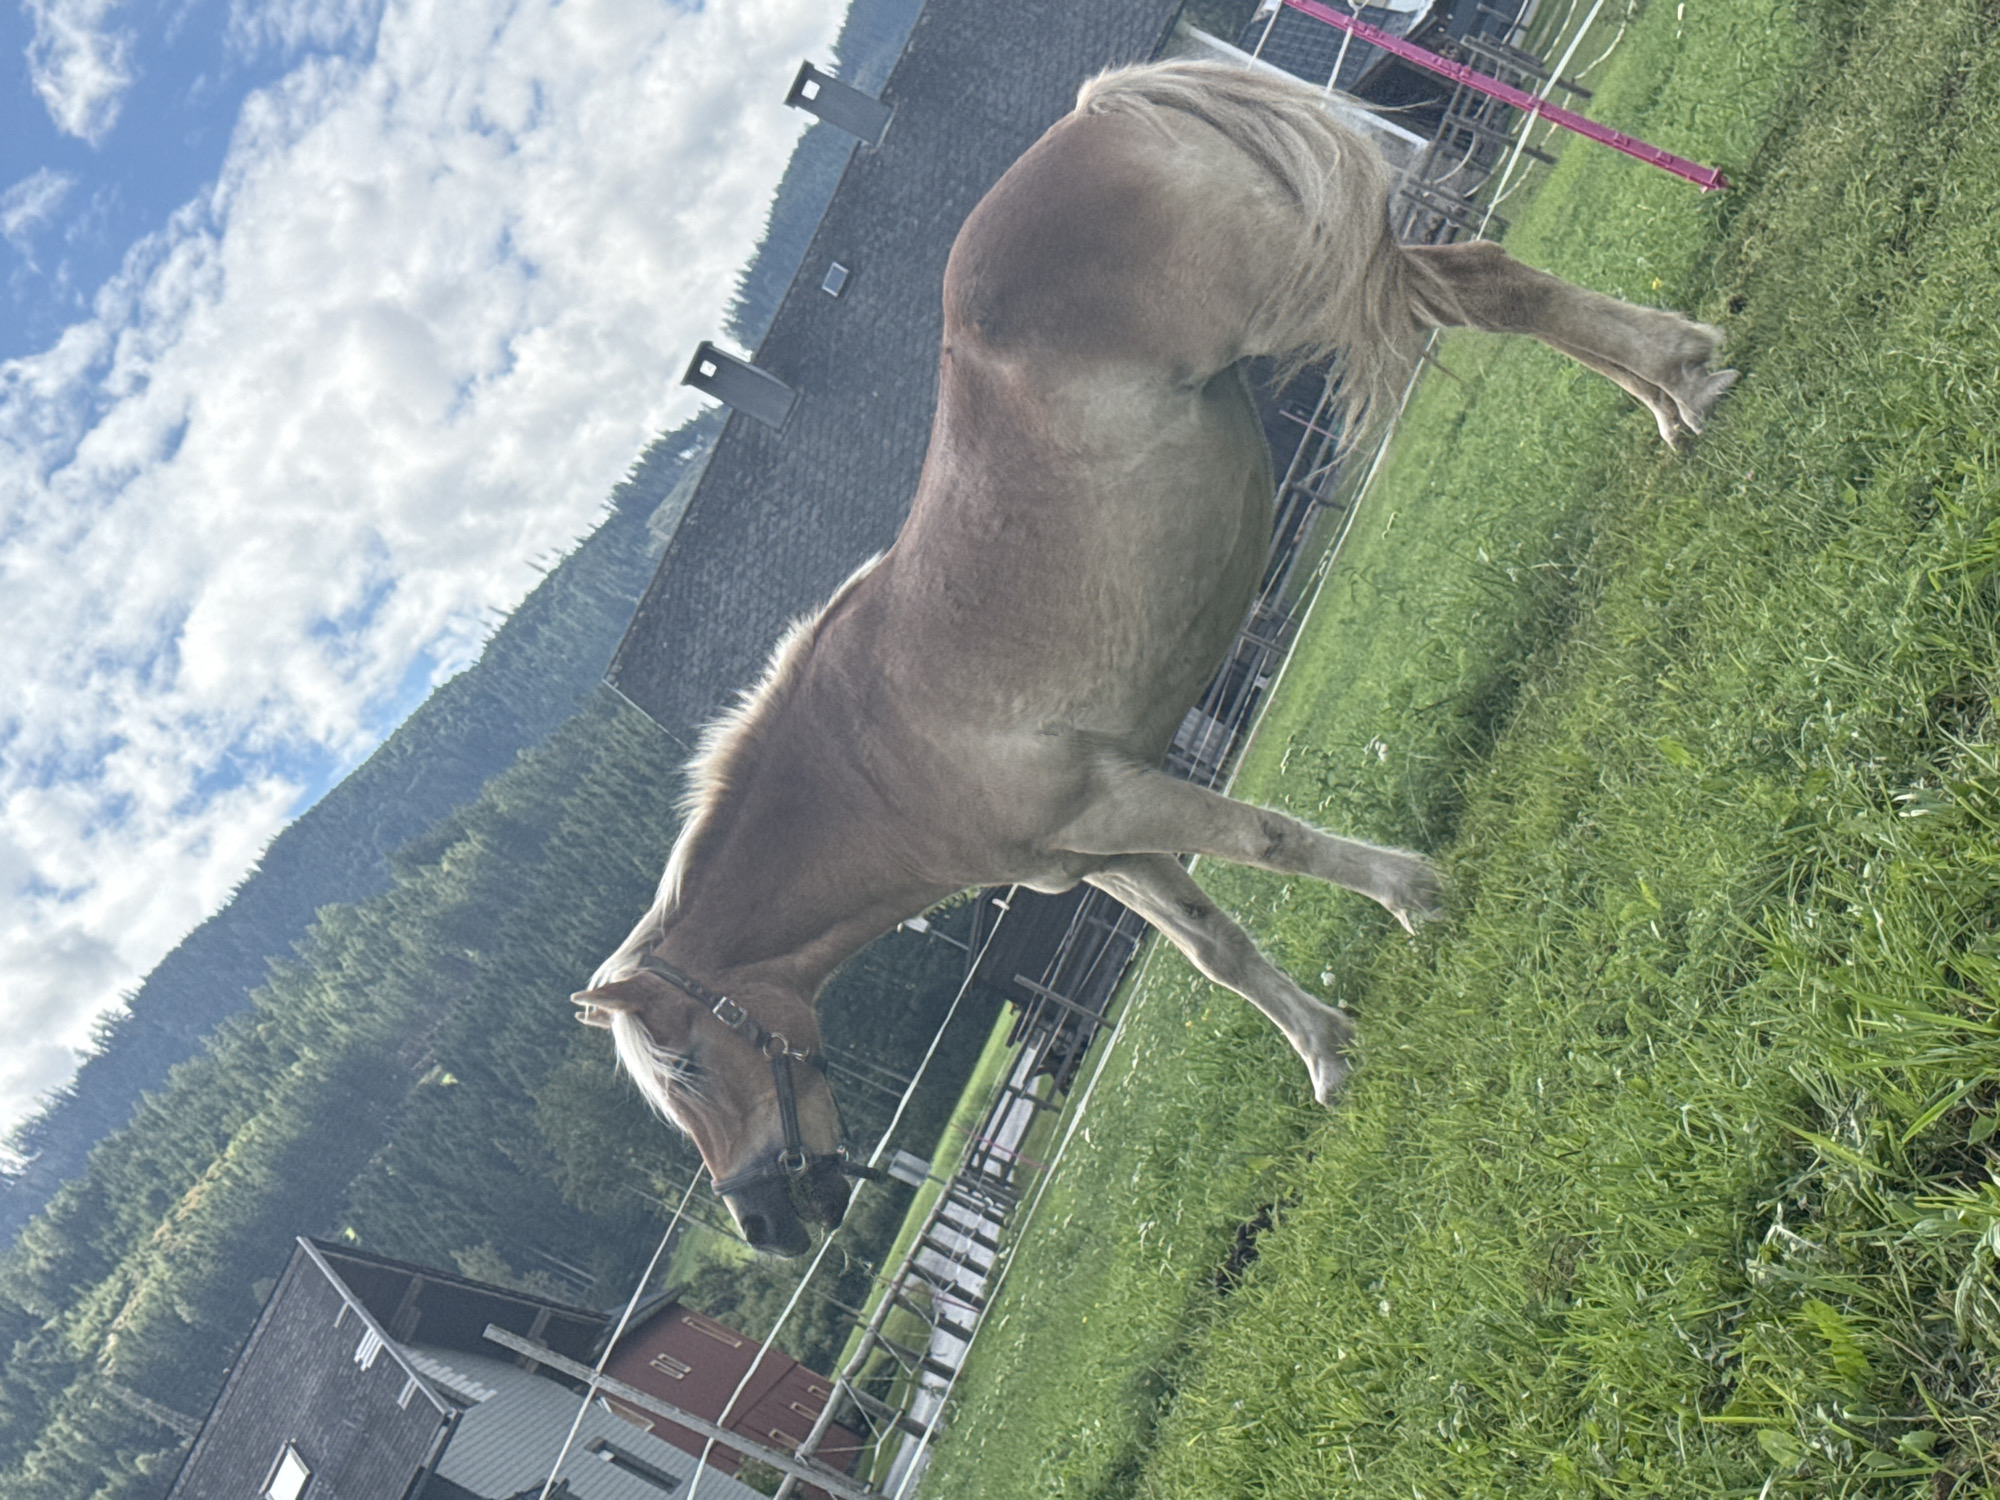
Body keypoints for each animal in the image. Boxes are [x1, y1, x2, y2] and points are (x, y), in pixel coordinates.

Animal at [571, 58, 1736, 1254]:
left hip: (1320, 298)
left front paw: (1413, 895)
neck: (878, 765)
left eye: (689, 1068)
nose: (762, 1224)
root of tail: (1107, 105)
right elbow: (1212, 947)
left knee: (1486, 287)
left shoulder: (1121, 799)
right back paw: (1669, 392)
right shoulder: (1104, 847)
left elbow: (1268, 843)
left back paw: (1681, 379)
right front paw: (1328, 1054)